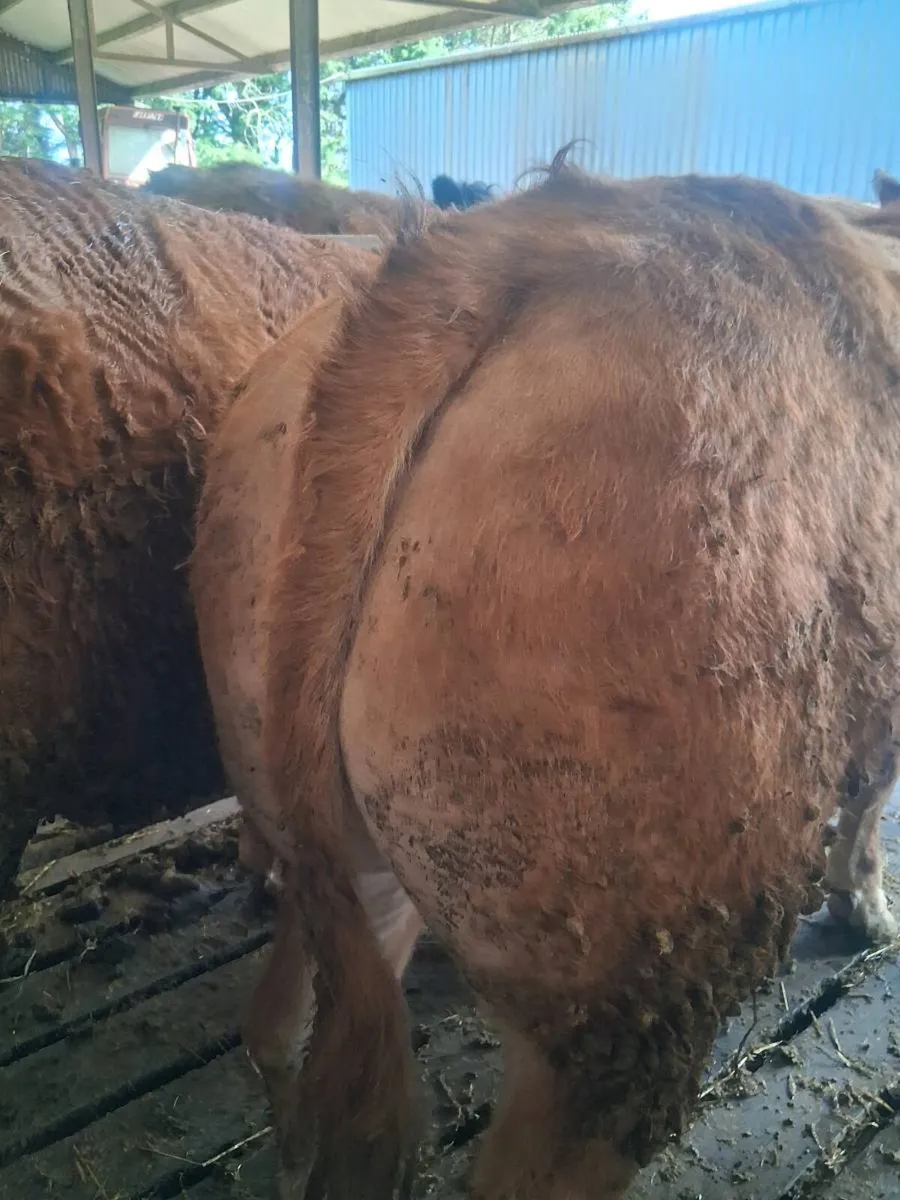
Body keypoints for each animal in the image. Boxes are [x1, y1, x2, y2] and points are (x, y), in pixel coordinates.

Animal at [192, 162, 900, 1199]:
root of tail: (511, 242)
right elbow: (878, 789)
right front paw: (868, 905)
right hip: (621, 983)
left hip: (335, 835)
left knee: (281, 1031)